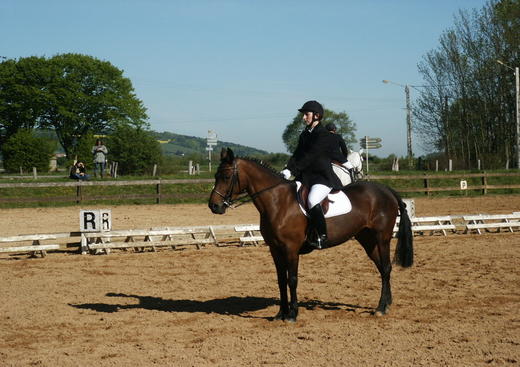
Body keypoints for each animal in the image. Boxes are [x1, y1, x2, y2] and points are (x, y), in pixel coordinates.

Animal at [208, 148, 414, 324]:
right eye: (216, 176)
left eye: (226, 176)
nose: (214, 206)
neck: (277, 201)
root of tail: (386, 190)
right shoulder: (275, 249)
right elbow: (281, 280)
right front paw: (280, 314)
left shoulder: (291, 249)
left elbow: (292, 280)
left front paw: (292, 315)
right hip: (367, 239)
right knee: (382, 268)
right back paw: (386, 304)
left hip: (382, 238)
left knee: (386, 268)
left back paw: (381, 308)